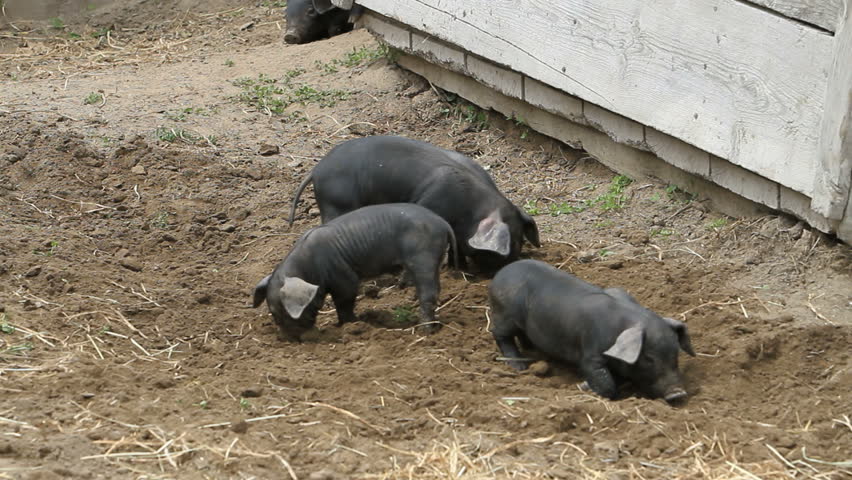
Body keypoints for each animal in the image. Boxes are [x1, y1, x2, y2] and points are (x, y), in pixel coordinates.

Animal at [253, 203, 456, 340]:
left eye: (277, 311)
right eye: (272, 312)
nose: (289, 339)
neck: (309, 269)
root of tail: (443, 224)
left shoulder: (345, 278)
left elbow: (345, 303)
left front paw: (348, 325)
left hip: (423, 257)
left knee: (429, 292)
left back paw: (426, 330)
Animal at [288, 136, 540, 272]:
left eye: (521, 240)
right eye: (513, 242)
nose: (505, 268)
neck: (470, 208)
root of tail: (317, 170)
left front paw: (458, 268)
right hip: (336, 202)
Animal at [488, 259, 696, 403]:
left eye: (675, 354)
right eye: (649, 358)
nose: (678, 393)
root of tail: (500, 273)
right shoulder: (590, 353)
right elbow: (605, 382)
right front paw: (583, 386)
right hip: (505, 314)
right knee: (499, 334)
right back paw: (519, 367)